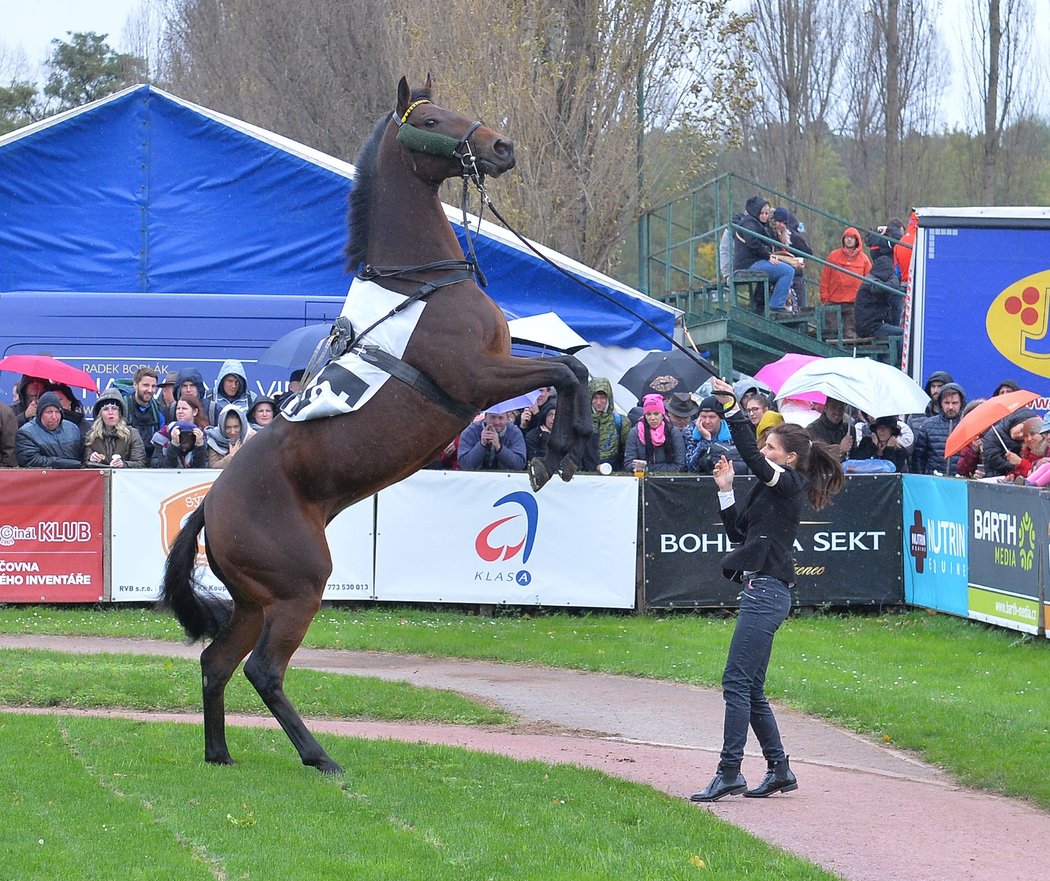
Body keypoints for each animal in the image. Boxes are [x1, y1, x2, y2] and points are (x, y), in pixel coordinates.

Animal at [160, 79, 596, 777]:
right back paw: (320, 758)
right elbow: (565, 369)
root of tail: (209, 507)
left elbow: (573, 365)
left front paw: (569, 445)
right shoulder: (476, 381)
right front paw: (560, 449)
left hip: (255, 602)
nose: (501, 147)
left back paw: (220, 753)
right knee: (263, 672)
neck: (423, 287)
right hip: (299, 590)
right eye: (433, 119)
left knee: (215, 663)